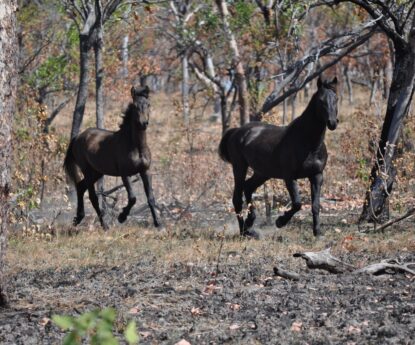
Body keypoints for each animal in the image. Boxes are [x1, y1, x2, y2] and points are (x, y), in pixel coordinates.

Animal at [64, 86, 162, 230]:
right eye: (135, 106)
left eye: (148, 104)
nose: (143, 123)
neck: (135, 146)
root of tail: (78, 137)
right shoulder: (124, 174)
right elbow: (132, 198)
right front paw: (122, 217)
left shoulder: (145, 171)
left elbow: (151, 197)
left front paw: (158, 223)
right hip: (87, 170)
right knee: (92, 196)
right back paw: (104, 226)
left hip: (97, 172)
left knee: (81, 187)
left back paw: (78, 218)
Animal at [219, 76, 340, 236]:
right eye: (321, 100)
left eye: (336, 99)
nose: (332, 123)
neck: (308, 143)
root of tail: (237, 131)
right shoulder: (289, 177)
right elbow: (297, 204)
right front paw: (280, 222)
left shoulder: (317, 175)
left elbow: (315, 205)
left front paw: (318, 232)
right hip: (240, 167)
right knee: (237, 198)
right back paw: (244, 231)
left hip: (263, 172)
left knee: (248, 188)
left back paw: (250, 226)